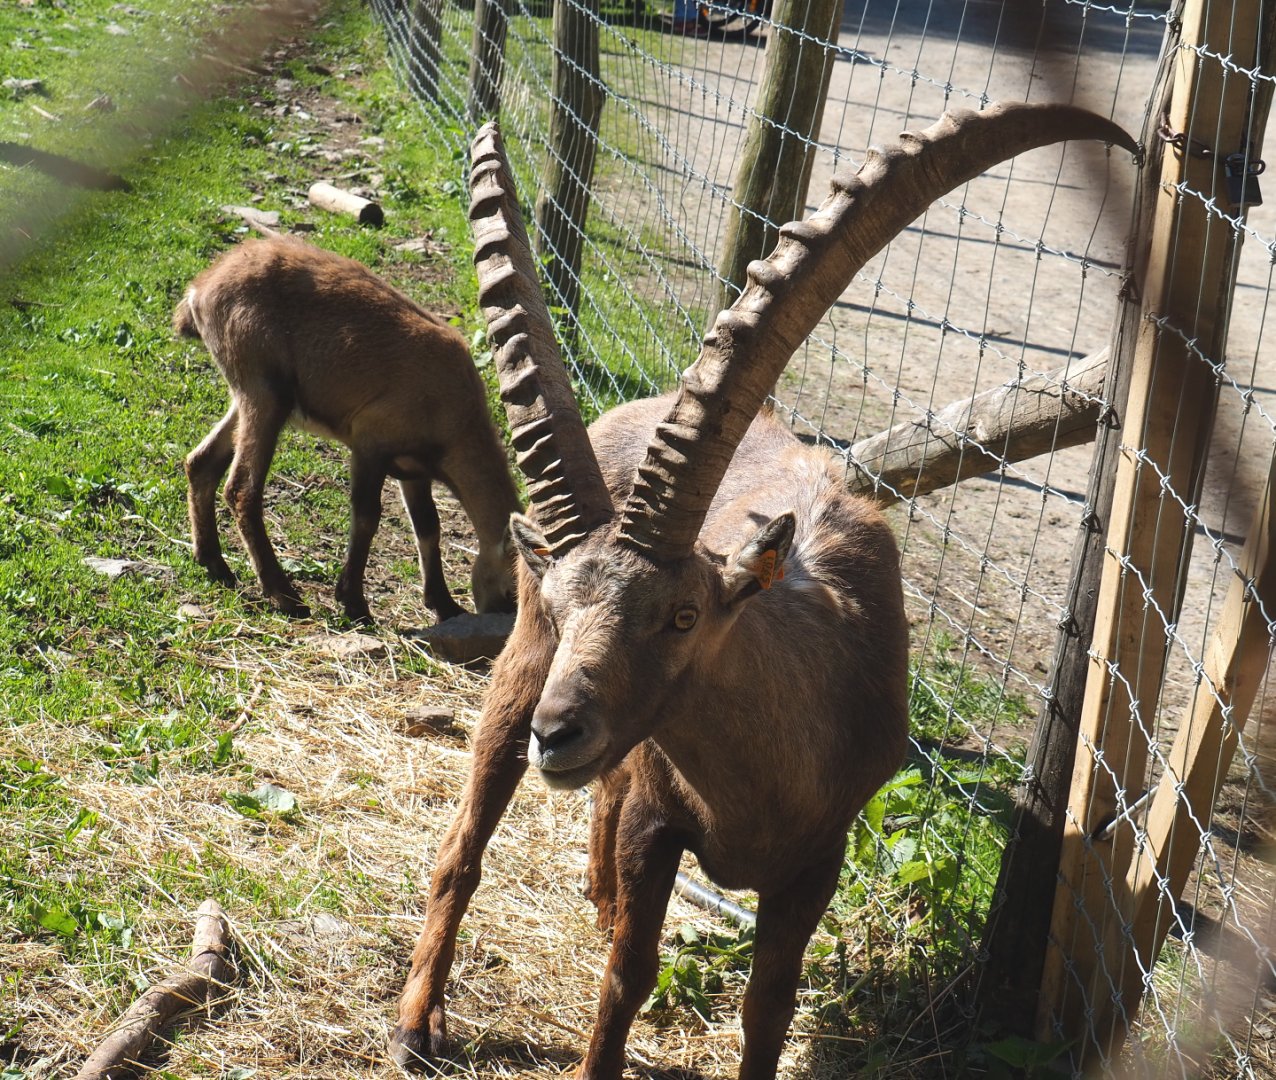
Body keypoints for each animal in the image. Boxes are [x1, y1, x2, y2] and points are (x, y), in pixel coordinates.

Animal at [174, 236, 520, 623]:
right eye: (513, 592)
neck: (453, 409)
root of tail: (200, 290)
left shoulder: (413, 470)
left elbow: (428, 526)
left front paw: (444, 603)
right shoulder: (369, 443)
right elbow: (367, 516)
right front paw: (354, 601)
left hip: (249, 396)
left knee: (202, 461)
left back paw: (214, 563)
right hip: (265, 394)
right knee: (241, 489)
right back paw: (286, 596)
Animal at [391, 106, 1137, 1077]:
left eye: (683, 615)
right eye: (559, 605)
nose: (558, 735)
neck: (763, 773)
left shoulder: (820, 855)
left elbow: (767, 1005)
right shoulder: (659, 824)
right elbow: (628, 978)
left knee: (590, 805)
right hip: (518, 678)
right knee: (463, 845)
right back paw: (418, 1019)